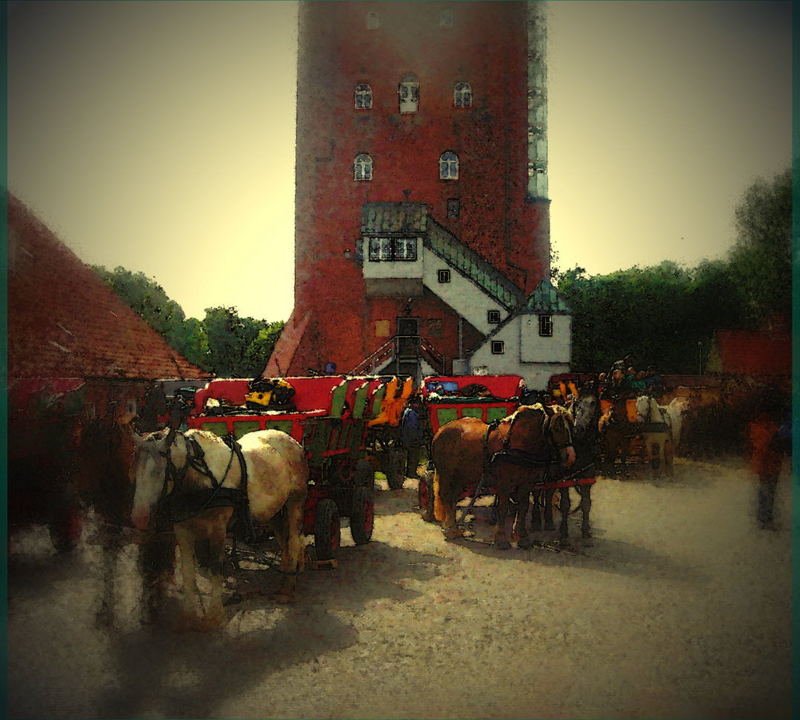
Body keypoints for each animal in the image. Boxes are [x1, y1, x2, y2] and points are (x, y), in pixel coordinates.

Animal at [131, 428, 306, 632]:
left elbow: (215, 569)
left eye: (160, 470)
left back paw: (287, 590)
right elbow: (188, 573)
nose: (139, 518)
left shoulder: (217, 530)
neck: (199, 480)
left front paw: (214, 617)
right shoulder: (183, 531)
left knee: (293, 541)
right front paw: (189, 616)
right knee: (284, 542)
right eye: (136, 465)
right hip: (275, 511)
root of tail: (289, 438)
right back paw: (286, 577)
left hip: (295, 502)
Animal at [432, 404, 576, 552]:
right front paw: (501, 539)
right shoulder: (504, 484)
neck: (517, 443)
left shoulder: (526, 483)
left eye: (571, 427)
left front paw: (521, 537)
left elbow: (523, 507)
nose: (571, 457)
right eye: (556, 428)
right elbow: (503, 508)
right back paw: (450, 529)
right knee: (446, 496)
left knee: (453, 498)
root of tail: (441, 430)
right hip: (447, 475)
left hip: (461, 476)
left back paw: (454, 528)